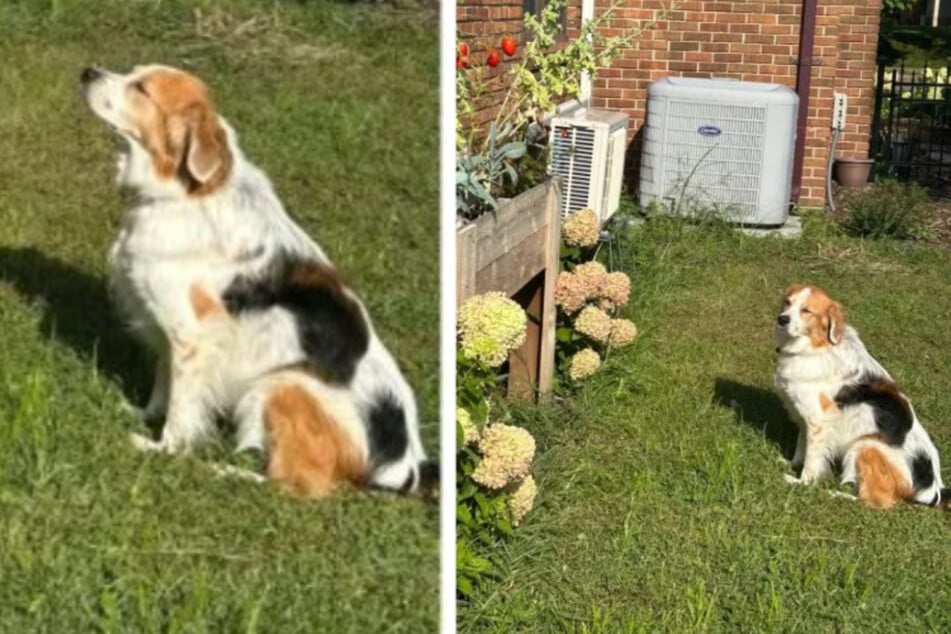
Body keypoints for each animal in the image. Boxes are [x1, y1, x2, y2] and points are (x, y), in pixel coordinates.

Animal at [80, 64, 436, 496]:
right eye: (133, 73)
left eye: (142, 89)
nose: (88, 71)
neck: (185, 194)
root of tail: (408, 466)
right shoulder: (168, 331)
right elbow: (163, 387)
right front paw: (143, 413)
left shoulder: (191, 337)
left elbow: (181, 411)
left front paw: (163, 449)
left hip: (280, 385)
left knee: (292, 483)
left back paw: (216, 470)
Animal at [776, 284, 948, 506]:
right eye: (787, 303)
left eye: (806, 311)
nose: (782, 319)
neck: (817, 347)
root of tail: (933, 491)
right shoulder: (805, 417)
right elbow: (801, 446)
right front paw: (792, 463)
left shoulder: (818, 422)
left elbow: (812, 460)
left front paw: (801, 483)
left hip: (864, 445)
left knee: (874, 501)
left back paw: (833, 494)